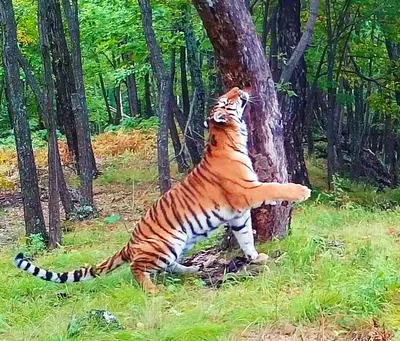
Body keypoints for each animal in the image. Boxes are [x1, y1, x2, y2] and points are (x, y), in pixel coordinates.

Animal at [12, 87, 310, 292]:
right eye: (227, 100)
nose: (238, 87)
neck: (226, 137)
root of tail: (129, 244)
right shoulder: (247, 190)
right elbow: (275, 187)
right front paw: (302, 191)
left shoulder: (238, 214)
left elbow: (246, 237)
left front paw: (255, 257)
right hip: (168, 242)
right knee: (138, 268)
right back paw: (153, 291)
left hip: (181, 242)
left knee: (167, 265)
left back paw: (192, 270)